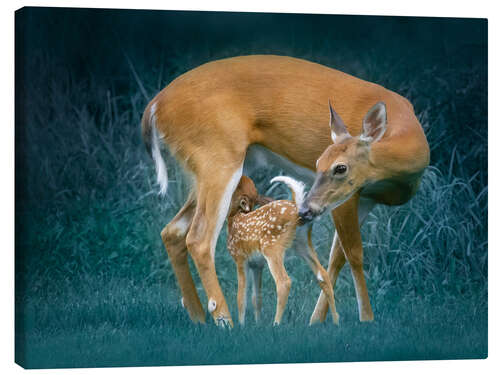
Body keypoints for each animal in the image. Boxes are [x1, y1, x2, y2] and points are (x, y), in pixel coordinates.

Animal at [141, 54, 430, 328]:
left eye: (340, 167)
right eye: (318, 163)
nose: (305, 209)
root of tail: (153, 108)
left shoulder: (367, 198)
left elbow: (337, 257)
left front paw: (318, 320)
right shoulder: (348, 199)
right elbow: (355, 255)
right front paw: (366, 318)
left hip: (210, 169)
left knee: (172, 231)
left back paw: (199, 317)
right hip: (217, 155)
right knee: (199, 238)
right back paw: (225, 320)